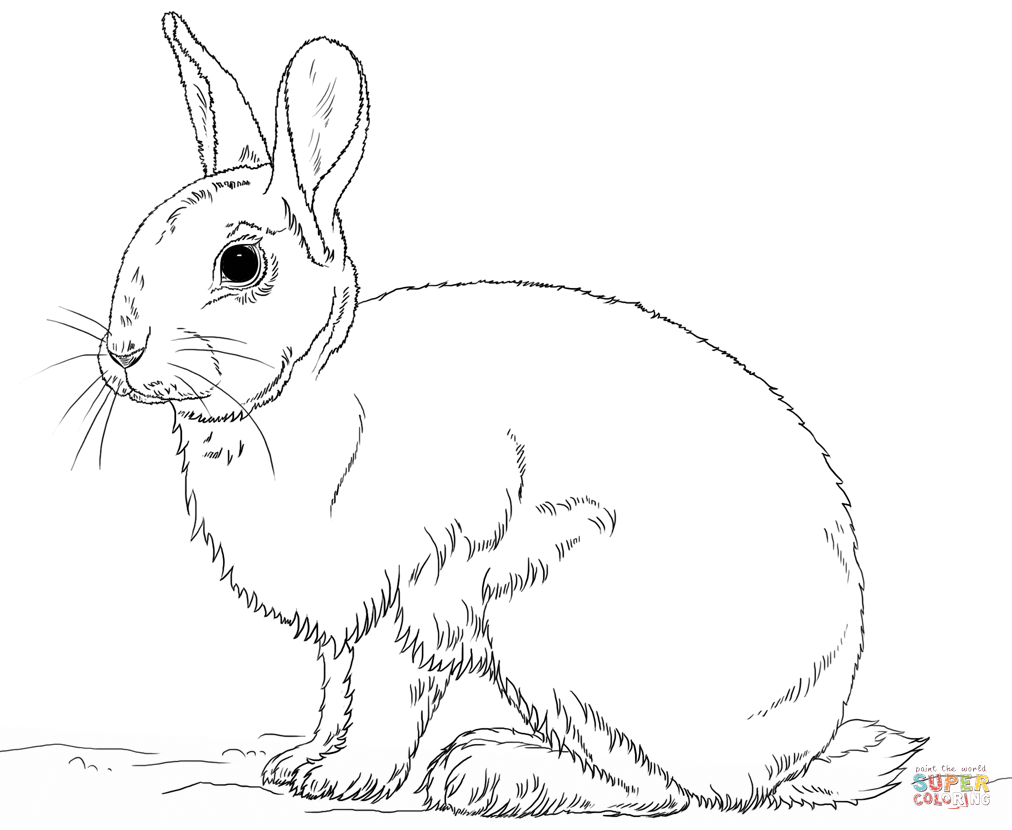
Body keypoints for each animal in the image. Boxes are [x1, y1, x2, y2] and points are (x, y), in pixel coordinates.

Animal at [89, 12, 925, 816]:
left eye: (240, 264)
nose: (121, 352)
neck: (306, 391)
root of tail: (792, 751)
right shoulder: (345, 623)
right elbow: (337, 692)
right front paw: (299, 764)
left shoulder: (418, 590)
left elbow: (387, 698)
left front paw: (347, 780)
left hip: (558, 624)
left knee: (657, 788)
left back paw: (490, 774)